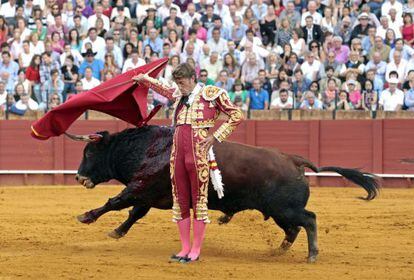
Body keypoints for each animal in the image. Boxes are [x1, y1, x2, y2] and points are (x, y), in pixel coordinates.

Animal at [69, 125, 380, 262]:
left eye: (90, 152)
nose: (79, 176)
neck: (147, 147)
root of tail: (294, 159)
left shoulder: (141, 187)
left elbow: (116, 202)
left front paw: (86, 216)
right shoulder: (149, 194)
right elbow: (133, 213)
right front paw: (116, 232)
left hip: (285, 208)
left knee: (309, 220)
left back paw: (312, 254)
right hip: (278, 212)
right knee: (293, 229)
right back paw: (278, 250)